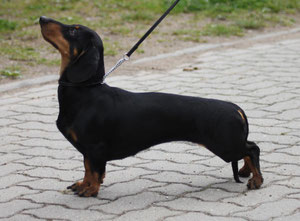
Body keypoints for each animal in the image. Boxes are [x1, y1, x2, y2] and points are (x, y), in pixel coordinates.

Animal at [39, 16, 262, 197]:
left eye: (73, 31)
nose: (42, 18)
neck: (86, 91)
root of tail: (235, 108)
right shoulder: (88, 151)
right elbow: (87, 168)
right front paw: (83, 184)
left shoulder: (95, 148)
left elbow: (94, 170)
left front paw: (90, 190)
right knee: (250, 148)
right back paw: (246, 172)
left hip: (225, 146)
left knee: (252, 149)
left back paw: (256, 180)